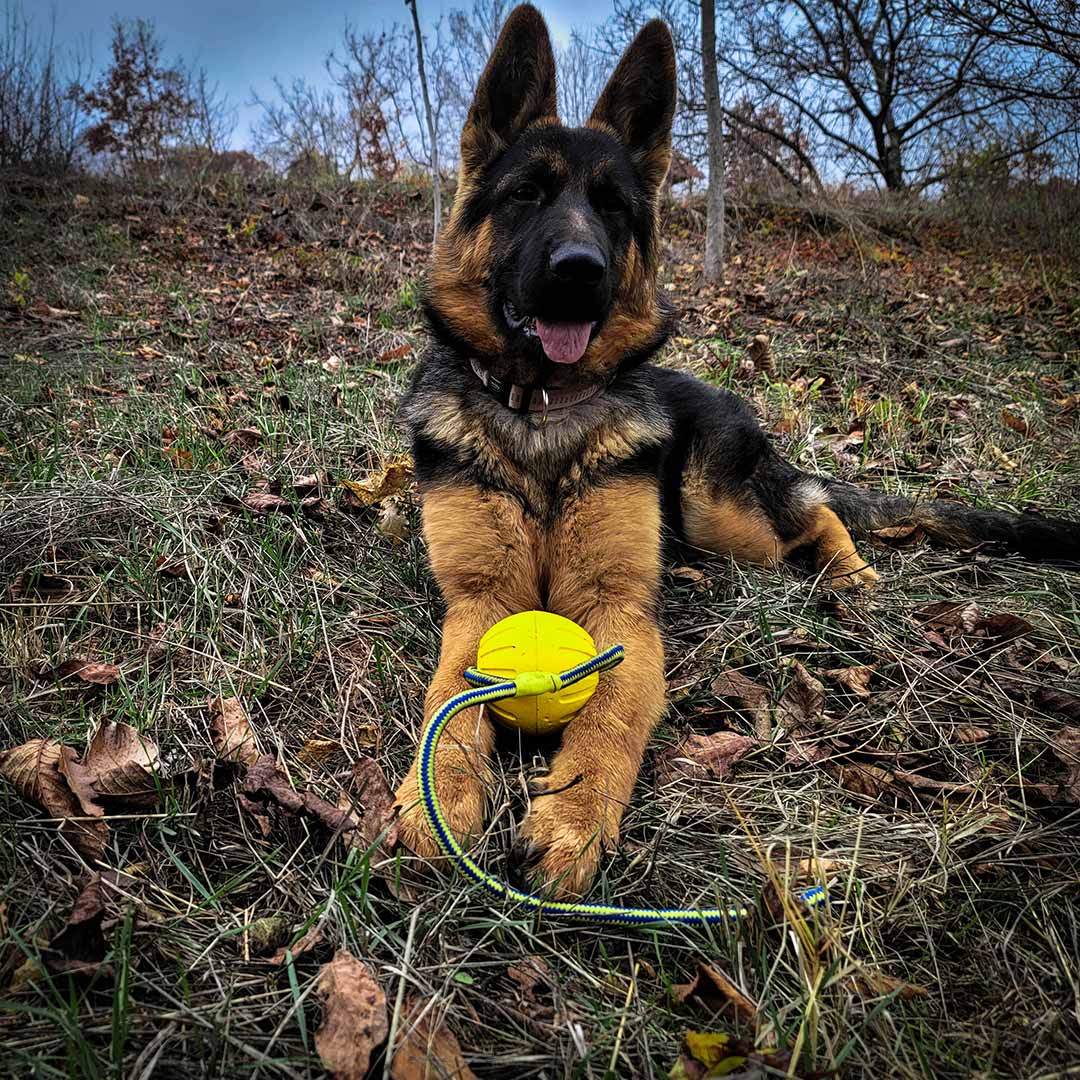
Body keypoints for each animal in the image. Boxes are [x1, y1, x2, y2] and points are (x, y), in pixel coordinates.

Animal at [395, 2, 1080, 894]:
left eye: (613, 208)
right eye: (527, 194)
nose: (582, 271)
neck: (543, 414)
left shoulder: (622, 609)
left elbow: (609, 714)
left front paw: (572, 817)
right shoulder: (479, 601)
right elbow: (447, 702)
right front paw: (435, 795)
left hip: (719, 512)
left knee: (813, 509)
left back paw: (850, 574)